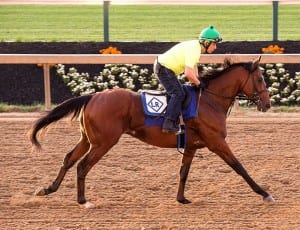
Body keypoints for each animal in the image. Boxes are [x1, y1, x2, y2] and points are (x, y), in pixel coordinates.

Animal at [28, 58, 274, 208]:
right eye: (260, 79)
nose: (267, 104)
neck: (210, 100)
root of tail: (93, 96)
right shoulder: (217, 142)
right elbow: (239, 167)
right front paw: (265, 193)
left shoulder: (191, 146)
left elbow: (183, 172)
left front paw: (181, 198)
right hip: (103, 143)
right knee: (82, 165)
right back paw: (82, 200)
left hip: (88, 139)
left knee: (69, 158)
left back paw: (48, 189)